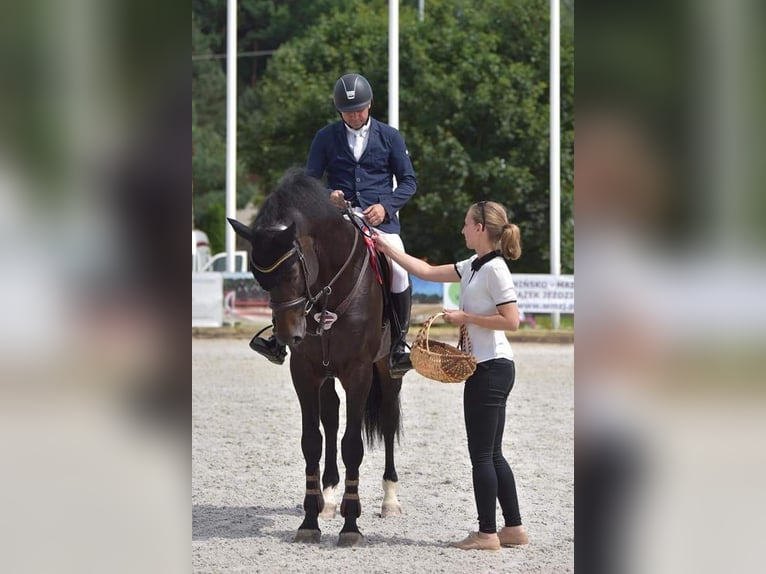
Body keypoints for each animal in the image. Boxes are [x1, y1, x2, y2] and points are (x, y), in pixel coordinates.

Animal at [228, 168, 404, 548]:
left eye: (293, 272)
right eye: (259, 278)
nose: (287, 336)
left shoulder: (358, 373)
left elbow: (352, 444)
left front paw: (351, 526)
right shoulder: (305, 372)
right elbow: (313, 441)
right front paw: (310, 519)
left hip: (386, 371)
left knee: (387, 421)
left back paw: (389, 501)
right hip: (327, 375)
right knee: (331, 419)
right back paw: (330, 500)